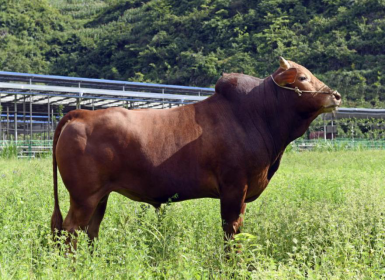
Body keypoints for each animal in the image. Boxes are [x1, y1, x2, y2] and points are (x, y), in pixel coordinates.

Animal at [50, 57, 340, 243]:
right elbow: (231, 233)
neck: (256, 115)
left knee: (90, 231)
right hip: (84, 197)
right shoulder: (234, 189)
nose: (335, 95)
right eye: (302, 77)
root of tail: (81, 114)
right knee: (70, 230)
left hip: (101, 196)